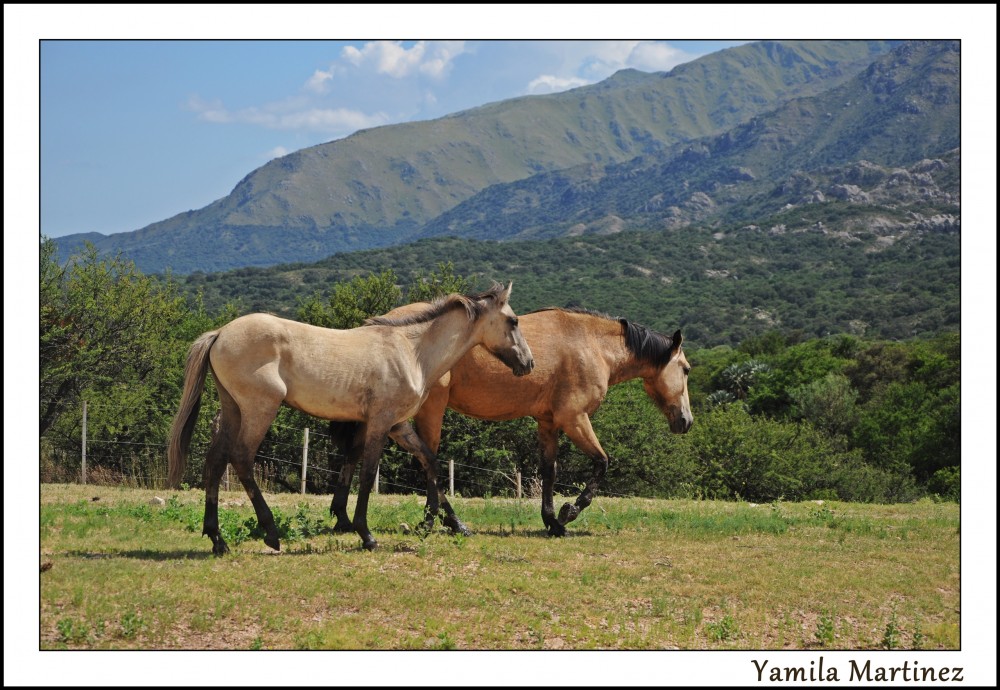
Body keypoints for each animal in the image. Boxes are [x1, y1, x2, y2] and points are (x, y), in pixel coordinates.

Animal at [168, 282, 536, 552]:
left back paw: (217, 540)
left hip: (232, 409)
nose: (528, 363)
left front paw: (447, 522)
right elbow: (368, 472)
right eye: (514, 321)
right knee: (241, 458)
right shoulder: (381, 423)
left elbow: (429, 460)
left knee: (216, 460)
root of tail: (219, 333)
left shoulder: (398, 425)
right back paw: (271, 534)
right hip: (260, 408)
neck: (411, 351)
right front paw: (366, 534)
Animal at [332, 306, 692, 536]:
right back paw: (444, 522)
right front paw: (569, 512)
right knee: (426, 459)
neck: (591, 345)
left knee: (357, 451)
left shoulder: (548, 422)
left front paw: (552, 522)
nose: (686, 421)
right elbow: (602, 463)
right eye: (687, 369)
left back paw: (342, 518)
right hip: (426, 410)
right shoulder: (574, 418)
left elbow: (549, 472)